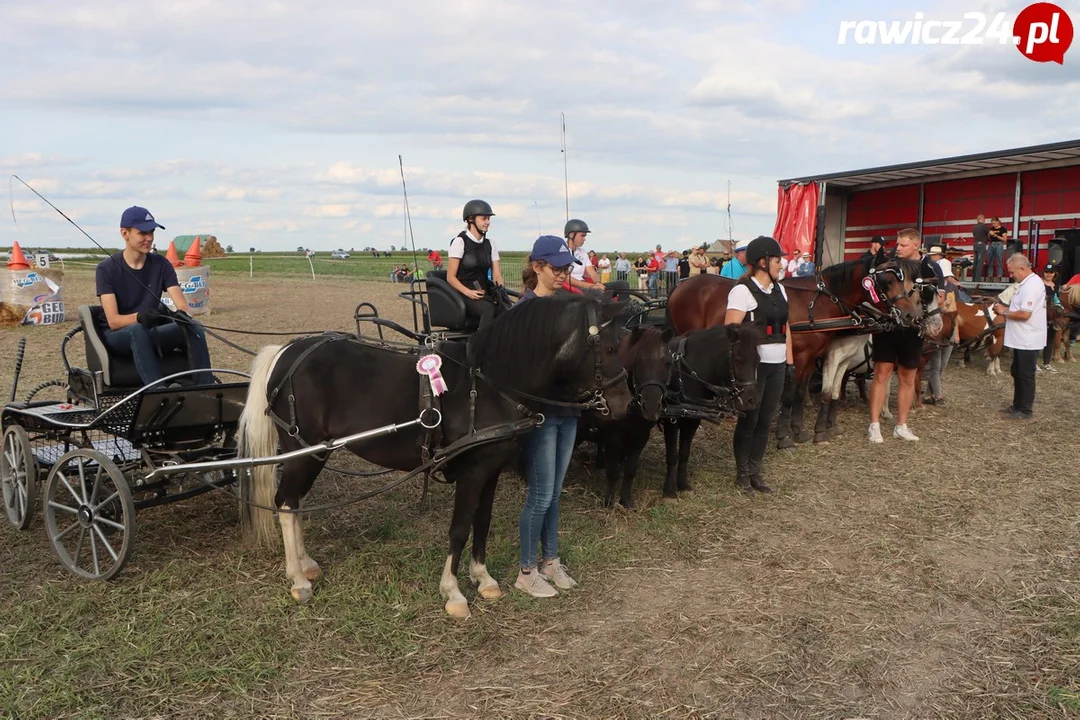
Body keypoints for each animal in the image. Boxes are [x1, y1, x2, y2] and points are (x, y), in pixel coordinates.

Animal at [669, 259, 924, 446]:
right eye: (887, 280)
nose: (911, 315)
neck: (819, 303)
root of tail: (680, 286)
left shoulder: (814, 358)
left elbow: (806, 394)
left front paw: (802, 430)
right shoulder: (801, 358)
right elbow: (792, 395)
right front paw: (786, 434)